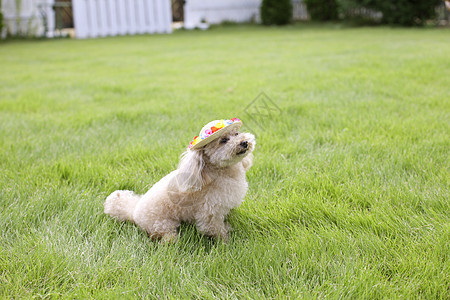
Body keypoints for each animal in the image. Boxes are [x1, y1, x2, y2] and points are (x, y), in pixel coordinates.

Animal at [103, 118, 255, 243]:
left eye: (236, 134)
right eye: (223, 140)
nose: (244, 142)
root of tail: (134, 212)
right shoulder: (209, 212)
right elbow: (216, 230)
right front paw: (226, 242)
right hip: (162, 224)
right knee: (164, 237)